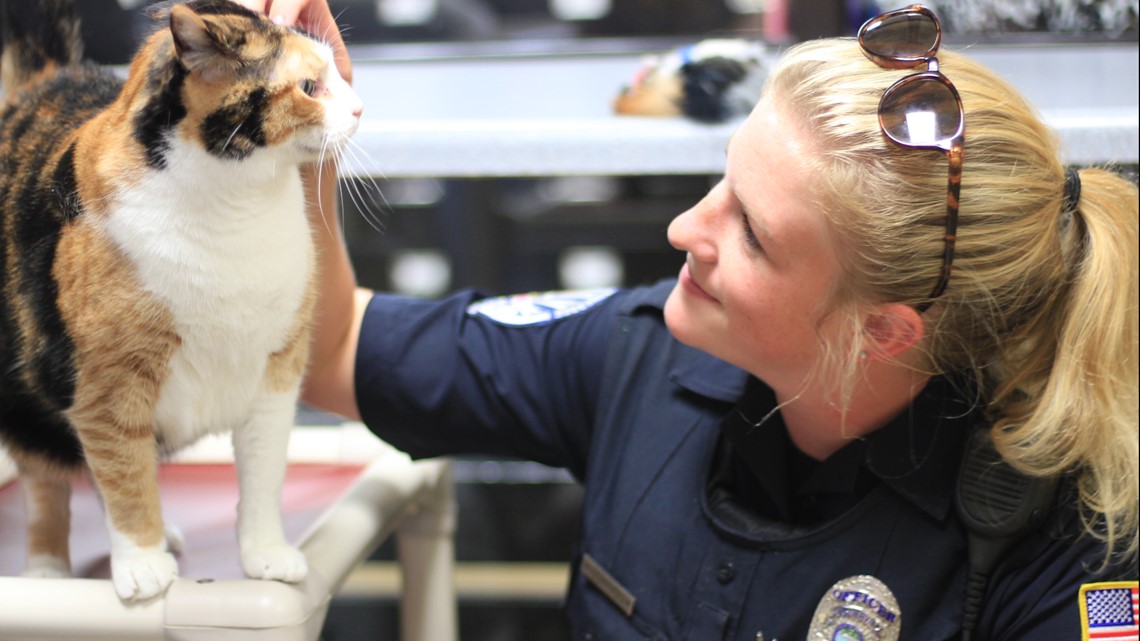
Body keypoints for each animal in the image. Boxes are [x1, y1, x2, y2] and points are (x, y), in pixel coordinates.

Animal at [0, 0, 362, 597]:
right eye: (311, 86)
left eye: (339, 73)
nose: (358, 107)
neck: (237, 208)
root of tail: (44, 81)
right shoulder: (108, 390)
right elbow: (124, 475)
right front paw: (143, 562)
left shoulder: (276, 375)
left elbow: (264, 473)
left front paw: (266, 554)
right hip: (29, 391)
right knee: (46, 482)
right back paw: (48, 568)